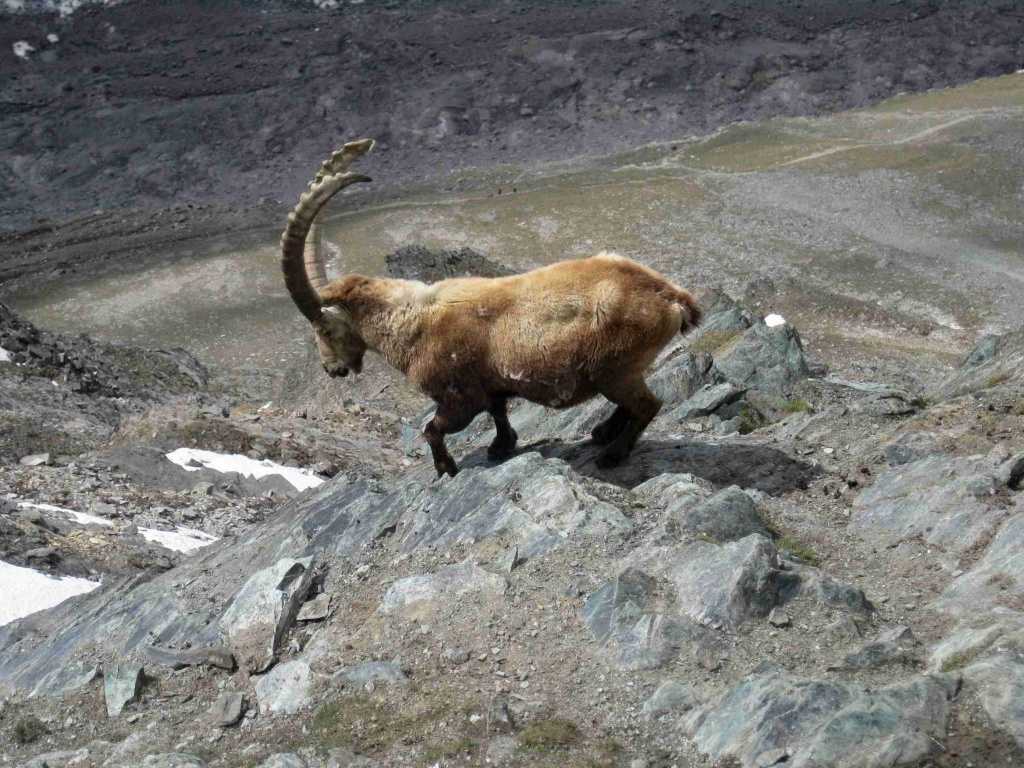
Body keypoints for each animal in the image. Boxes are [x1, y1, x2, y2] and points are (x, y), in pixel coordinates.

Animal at [281, 139, 702, 477]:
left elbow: (434, 428)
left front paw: (446, 469)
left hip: (614, 369)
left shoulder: (458, 396)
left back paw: (613, 454)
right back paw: (602, 433)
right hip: (618, 371)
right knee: (634, 404)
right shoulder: (492, 383)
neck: (413, 322)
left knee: (648, 405)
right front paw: (502, 446)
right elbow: (498, 410)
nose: (332, 369)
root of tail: (671, 296)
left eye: (325, 329)